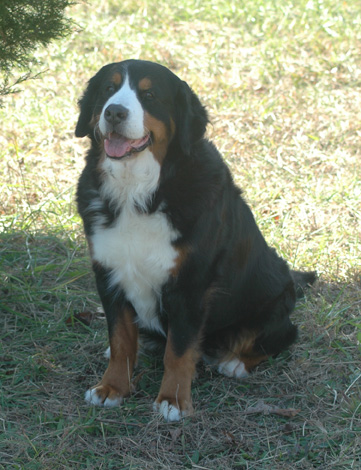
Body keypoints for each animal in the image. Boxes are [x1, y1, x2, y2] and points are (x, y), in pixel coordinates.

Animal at [76, 58, 316, 422]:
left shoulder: (190, 283)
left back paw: (235, 363)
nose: (114, 112)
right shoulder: (108, 272)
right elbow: (120, 340)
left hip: (270, 303)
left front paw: (173, 400)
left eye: (149, 95)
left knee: (283, 336)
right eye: (108, 88)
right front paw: (112, 387)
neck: (138, 191)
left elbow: (178, 350)